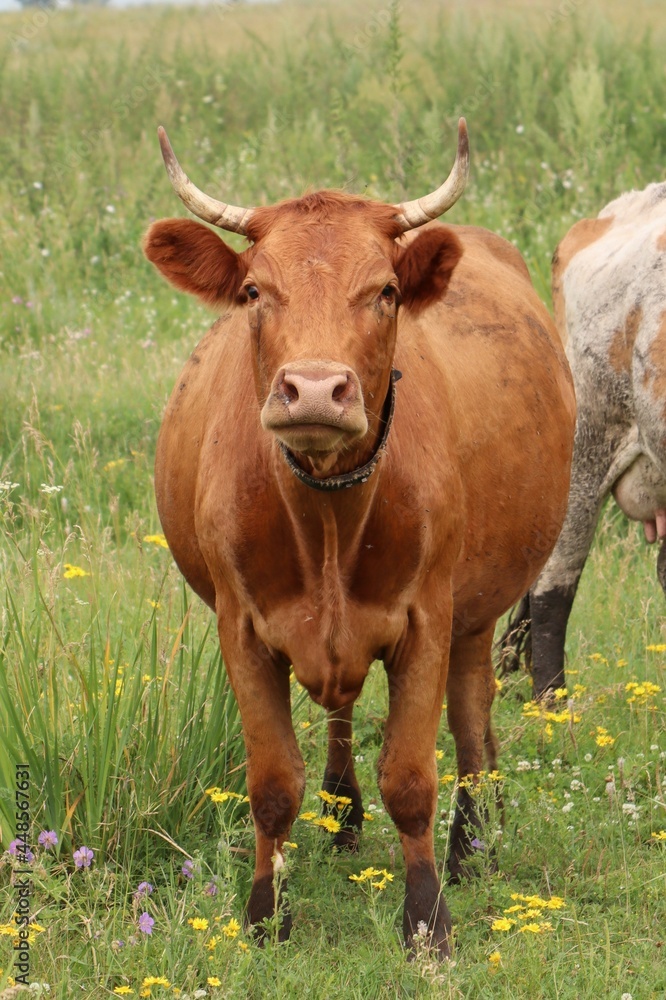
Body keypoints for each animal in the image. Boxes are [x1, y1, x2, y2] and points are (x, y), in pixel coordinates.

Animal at [145, 121, 576, 956]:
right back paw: (344, 815)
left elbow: (411, 778)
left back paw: (475, 838)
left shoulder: (428, 617)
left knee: (471, 714)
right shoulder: (241, 627)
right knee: (344, 714)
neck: (327, 525)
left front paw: (428, 919)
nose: (315, 389)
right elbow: (272, 783)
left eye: (385, 292)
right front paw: (265, 915)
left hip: (478, 607)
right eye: (254, 291)